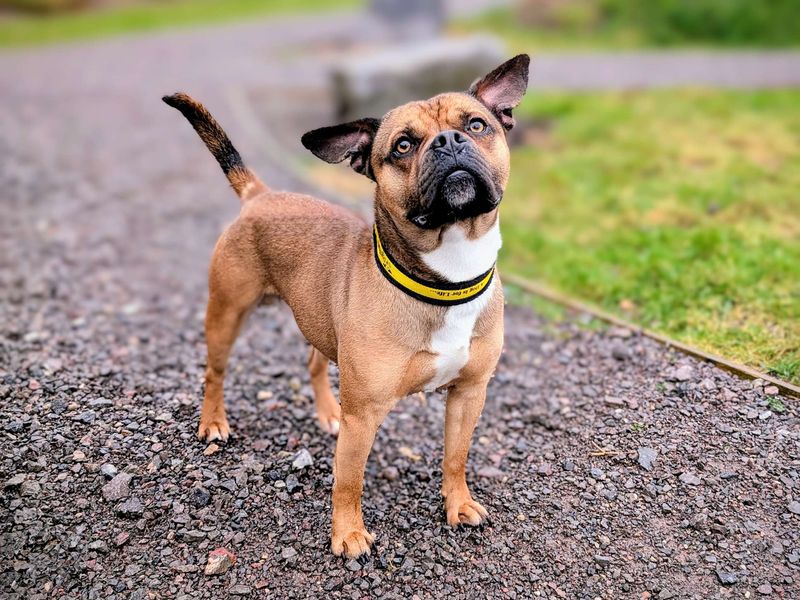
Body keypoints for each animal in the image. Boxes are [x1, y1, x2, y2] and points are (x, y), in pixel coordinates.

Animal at [162, 56, 528, 556]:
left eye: (476, 125)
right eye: (402, 145)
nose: (449, 141)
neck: (445, 278)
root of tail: (260, 194)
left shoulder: (469, 394)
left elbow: (456, 457)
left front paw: (458, 504)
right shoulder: (365, 415)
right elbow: (348, 480)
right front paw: (348, 534)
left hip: (320, 322)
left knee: (314, 363)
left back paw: (327, 413)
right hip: (226, 314)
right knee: (214, 373)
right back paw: (214, 422)